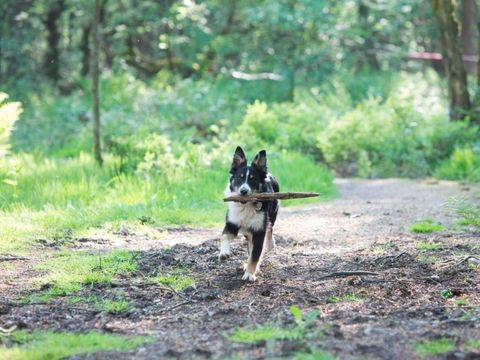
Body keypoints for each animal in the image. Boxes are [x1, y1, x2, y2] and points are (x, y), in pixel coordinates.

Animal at [219, 146, 280, 282]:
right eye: (239, 178)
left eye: (253, 179)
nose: (243, 191)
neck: (246, 206)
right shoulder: (232, 222)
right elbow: (224, 236)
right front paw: (224, 253)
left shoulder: (259, 230)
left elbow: (255, 255)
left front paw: (249, 274)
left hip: (273, 213)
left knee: (270, 228)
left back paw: (270, 244)